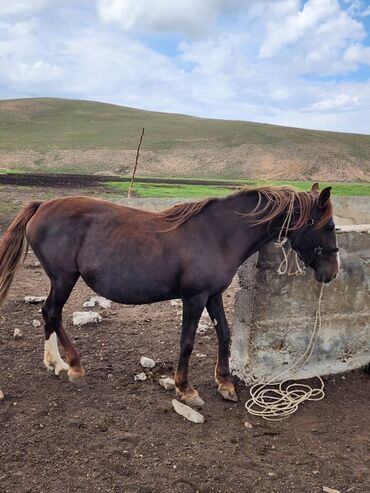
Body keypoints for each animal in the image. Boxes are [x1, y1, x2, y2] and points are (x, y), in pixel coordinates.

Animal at [0, 183, 338, 406]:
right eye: (329, 226)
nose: (332, 272)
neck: (219, 234)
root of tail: (42, 205)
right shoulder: (194, 297)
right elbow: (187, 341)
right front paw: (185, 388)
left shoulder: (213, 295)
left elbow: (225, 335)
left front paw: (225, 382)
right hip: (63, 279)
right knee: (52, 313)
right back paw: (72, 366)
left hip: (60, 280)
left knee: (48, 314)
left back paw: (56, 363)